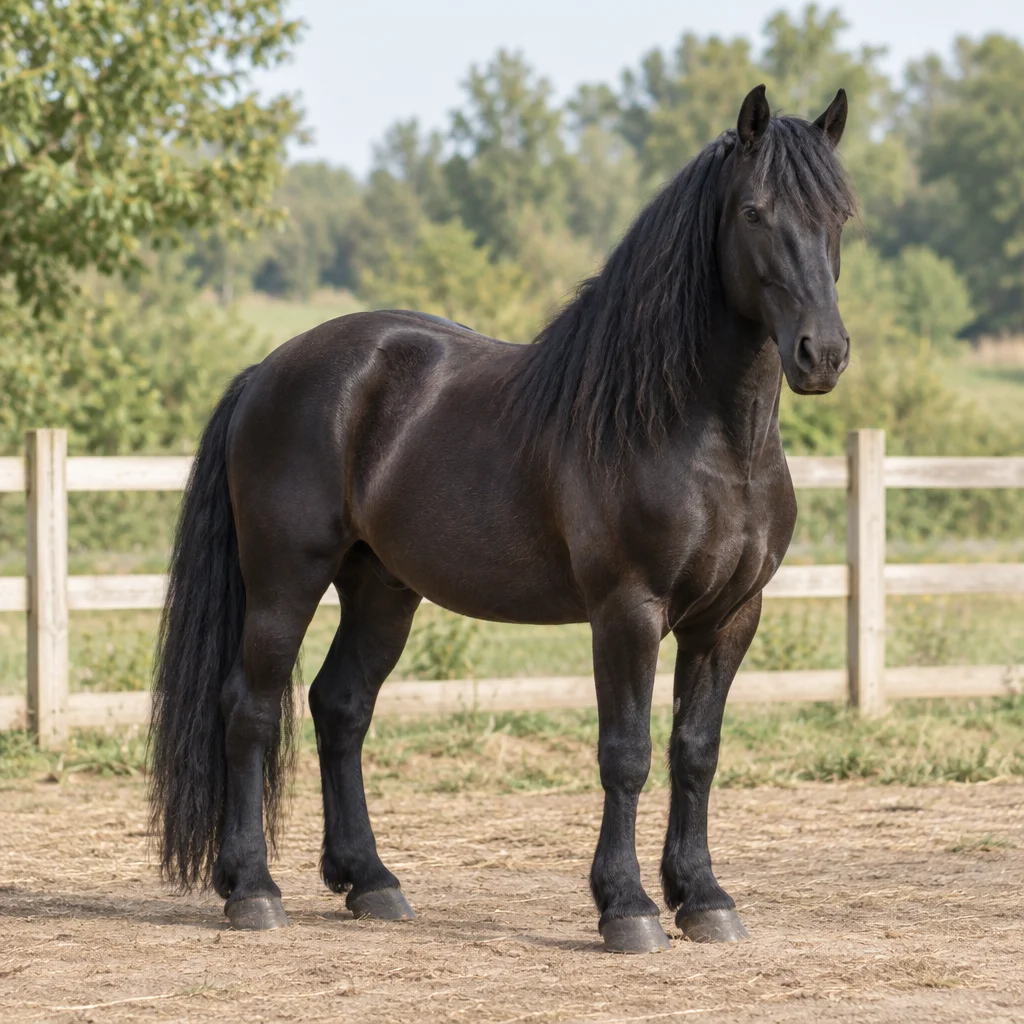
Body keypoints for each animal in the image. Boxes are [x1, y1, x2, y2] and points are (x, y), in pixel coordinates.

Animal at [149, 84, 854, 953]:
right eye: (755, 212)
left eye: (840, 214)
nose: (822, 353)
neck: (705, 435)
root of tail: (267, 371)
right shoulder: (628, 611)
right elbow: (626, 752)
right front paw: (627, 907)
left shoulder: (729, 617)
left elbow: (696, 750)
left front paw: (704, 898)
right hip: (285, 580)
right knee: (248, 710)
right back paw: (253, 889)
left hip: (381, 589)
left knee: (339, 708)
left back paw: (371, 882)